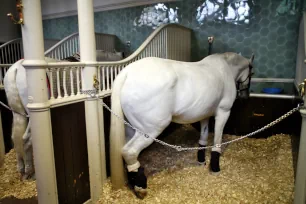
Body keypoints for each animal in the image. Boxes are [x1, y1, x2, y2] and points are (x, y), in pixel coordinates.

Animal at [110, 51, 253, 197]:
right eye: (251, 71)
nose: (245, 96)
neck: (226, 69)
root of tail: (128, 72)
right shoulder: (223, 112)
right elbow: (217, 141)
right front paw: (215, 167)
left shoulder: (205, 115)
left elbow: (203, 138)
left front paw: (201, 160)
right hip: (149, 131)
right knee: (129, 151)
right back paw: (140, 186)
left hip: (130, 129)